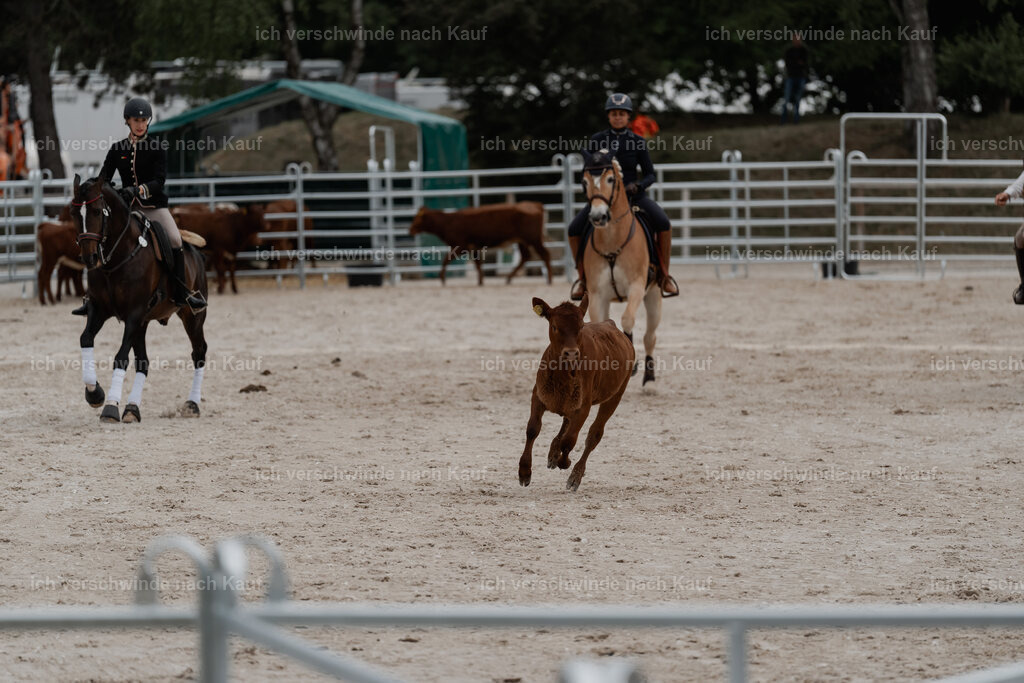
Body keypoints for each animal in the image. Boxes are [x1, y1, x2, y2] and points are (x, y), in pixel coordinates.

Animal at [71, 175, 208, 423]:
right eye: (73, 213)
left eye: (96, 211)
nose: (89, 258)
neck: (117, 257)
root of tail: (195, 252)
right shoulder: (99, 310)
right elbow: (86, 339)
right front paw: (95, 393)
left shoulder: (134, 314)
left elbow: (120, 357)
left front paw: (110, 407)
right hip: (144, 323)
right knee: (143, 362)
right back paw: (132, 409)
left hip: (193, 317)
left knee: (199, 352)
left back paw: (192, 404)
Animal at [580, 151, 662, 385]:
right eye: (584, 182)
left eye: (610, 179)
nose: (598, 216)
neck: (612, 241)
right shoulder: (597, 295)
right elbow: (599, 324)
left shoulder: (636, 287)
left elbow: (627, 319)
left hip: (653, 297)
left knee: (650, 336)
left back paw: (649, 381)